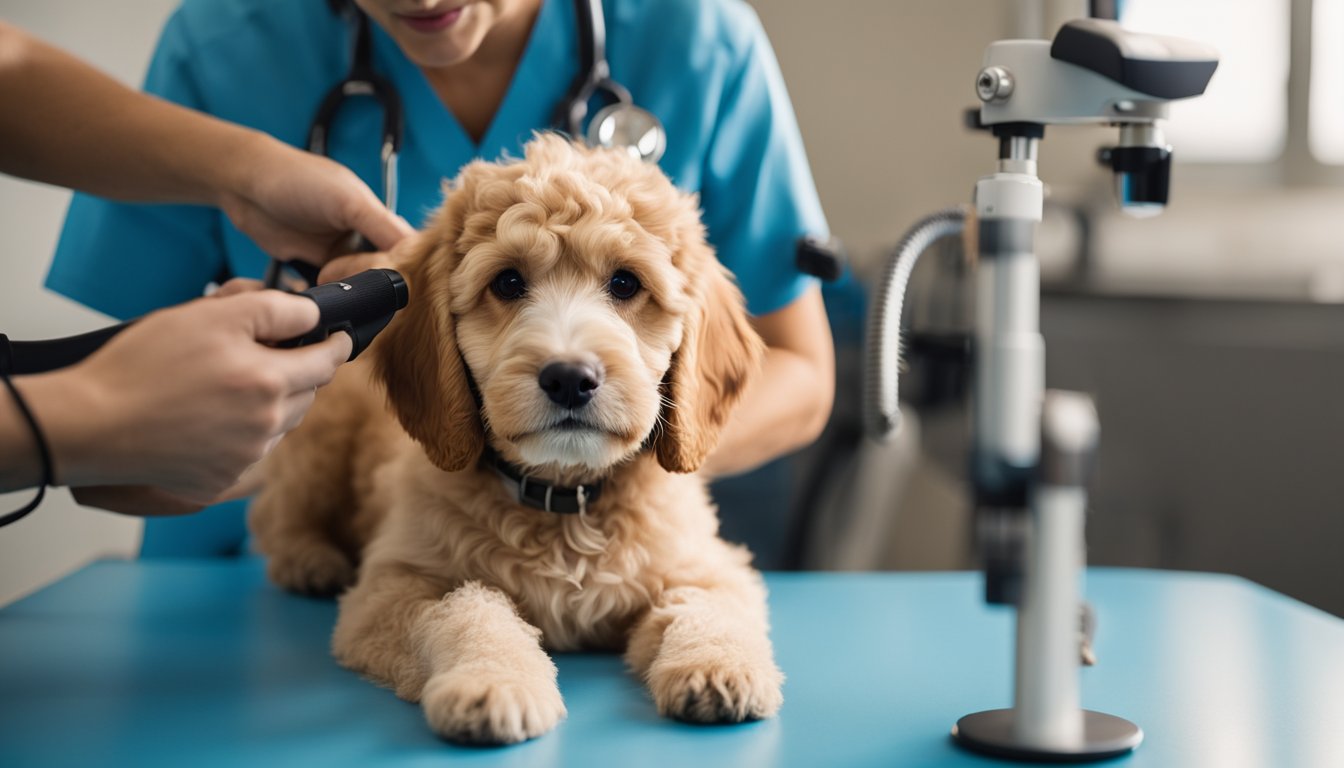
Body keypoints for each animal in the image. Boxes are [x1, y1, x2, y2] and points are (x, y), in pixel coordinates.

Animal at [247, 136, 784, 747]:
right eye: (507, 282)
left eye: (625, 282)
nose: (569, 378)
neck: (564, 502)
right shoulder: (391, 587)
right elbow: (465, 609)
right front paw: (492, 681)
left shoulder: (710, 565)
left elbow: (707, 606)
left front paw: (719, 666)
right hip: (318, 447)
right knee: (276, 512)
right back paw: (308, 559)